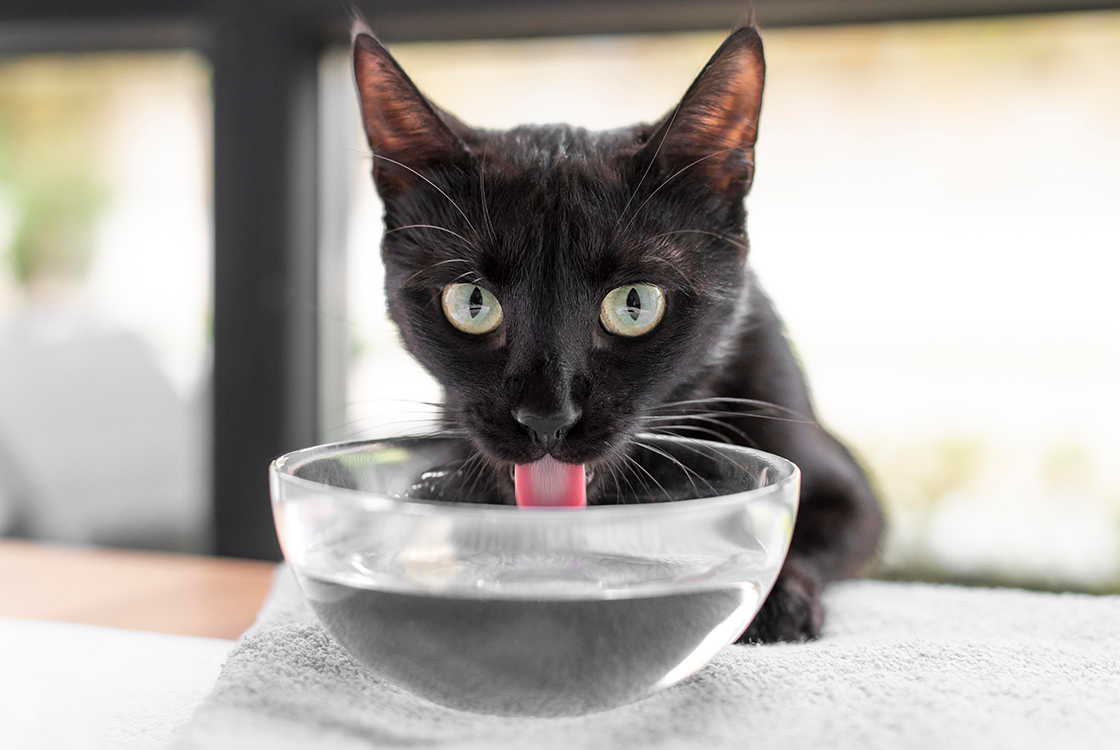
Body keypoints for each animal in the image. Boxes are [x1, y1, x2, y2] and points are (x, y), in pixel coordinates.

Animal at [349, 26, 882, 644]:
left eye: (635, 304)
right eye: (472, 303)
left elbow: (799, 530)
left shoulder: (848, 491)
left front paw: (775, 600)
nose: (546, 417)